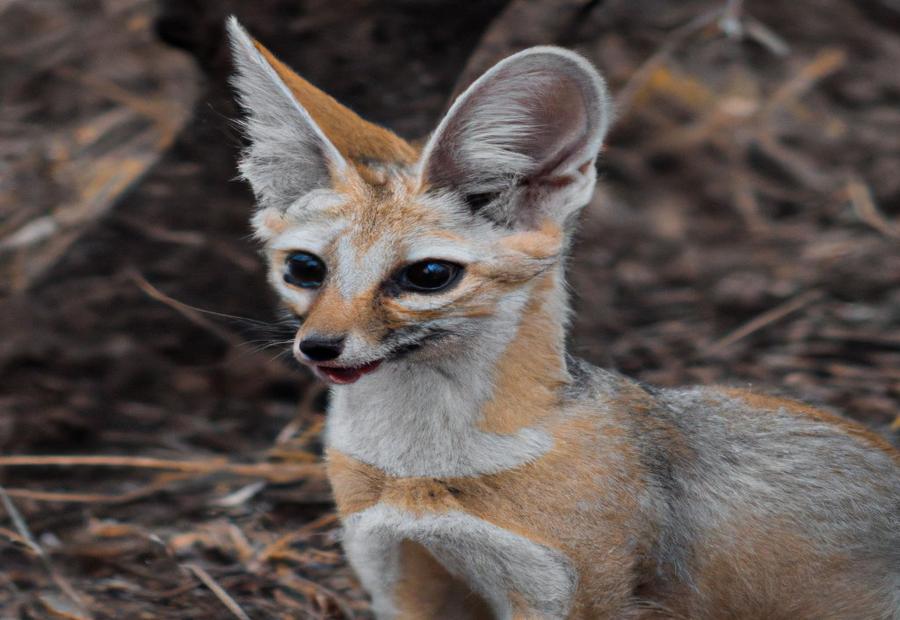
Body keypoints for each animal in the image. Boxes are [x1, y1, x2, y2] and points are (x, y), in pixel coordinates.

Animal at [227, 18, 900, 620]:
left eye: (428, 275)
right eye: (305, 268)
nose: (318, 346)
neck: (420, 464)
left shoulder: (566, 591)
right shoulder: (399, 570)